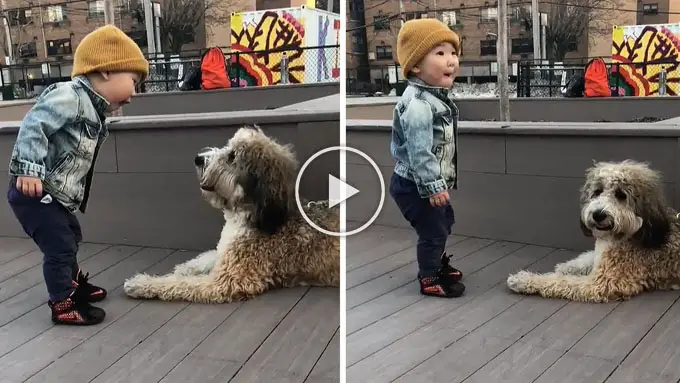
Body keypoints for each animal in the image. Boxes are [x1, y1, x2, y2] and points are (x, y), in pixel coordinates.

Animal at [123, 127, 340, 304]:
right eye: (228, 147)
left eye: (232, 156)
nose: (198, 158)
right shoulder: (226, 253)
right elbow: (209, 256)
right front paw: (186, 267)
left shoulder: (226, 281)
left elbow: (181, 284)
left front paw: (142, 283)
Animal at [504, 160, 680, 304]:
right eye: (597, 192)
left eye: (621, 195)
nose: (598, 214)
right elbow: (588, 257)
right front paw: (568, 266)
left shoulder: (601, 283)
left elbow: (562, 281)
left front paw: (523, 279)